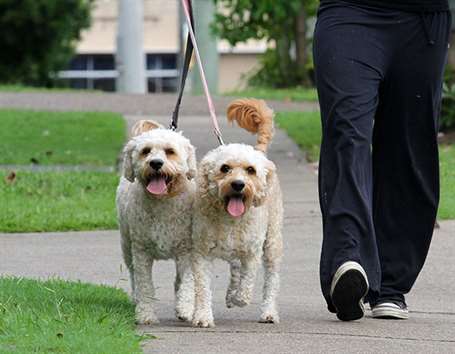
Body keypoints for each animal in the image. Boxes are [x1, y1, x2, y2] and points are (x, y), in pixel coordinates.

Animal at [116, 120, 196, 324]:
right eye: (146, 151)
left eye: (170, 151)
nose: (156, 163)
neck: (163, 200)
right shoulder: (141, 251)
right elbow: (144, 284)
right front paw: (145, 314)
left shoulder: (187, 250)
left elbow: (187, 281)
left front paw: (186, 307)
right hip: (127, 246)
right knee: (133, 275)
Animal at [191, 98, 284, 328]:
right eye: (225, 168)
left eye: (250, 170)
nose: (238, 184)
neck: (230, 220)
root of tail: (260, 153)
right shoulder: (201, 253)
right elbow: (202, 288)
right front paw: (203, 316)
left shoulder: (252, 252)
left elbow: (248, 281)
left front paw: (240, 298)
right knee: (234, 268)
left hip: (272, 243)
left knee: (271, 279)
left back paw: (268, 312)